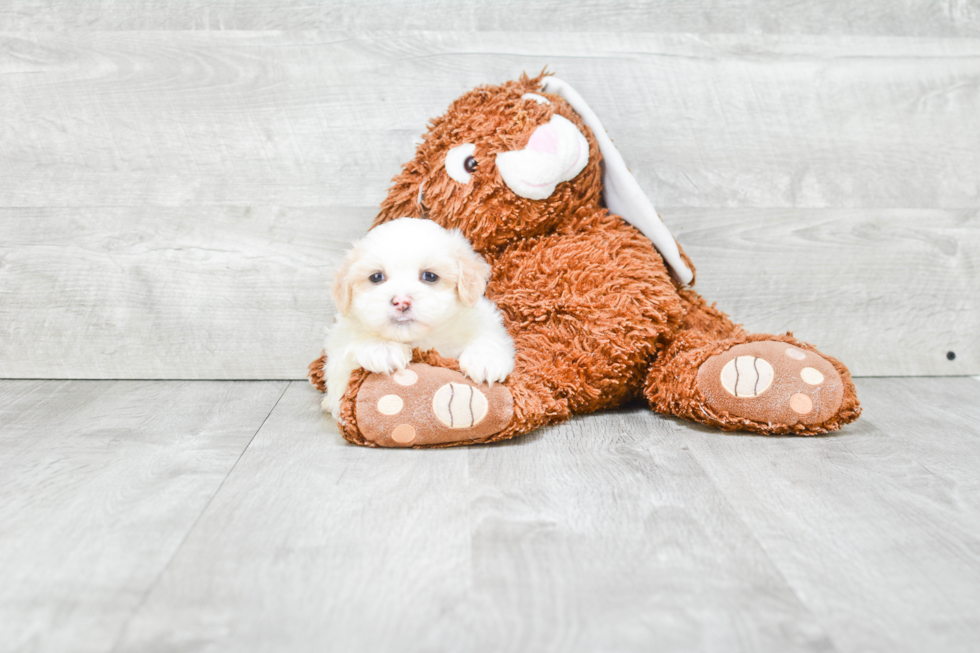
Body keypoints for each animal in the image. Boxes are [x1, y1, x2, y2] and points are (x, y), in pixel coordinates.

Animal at [324, 216, 520, 416]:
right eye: (376, 277)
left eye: (430, 276)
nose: (401, 301)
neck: (421, 341)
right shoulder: (337, 375)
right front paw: (381, 348)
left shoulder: (485, 318)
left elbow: (490, 335)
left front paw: (484, 359)